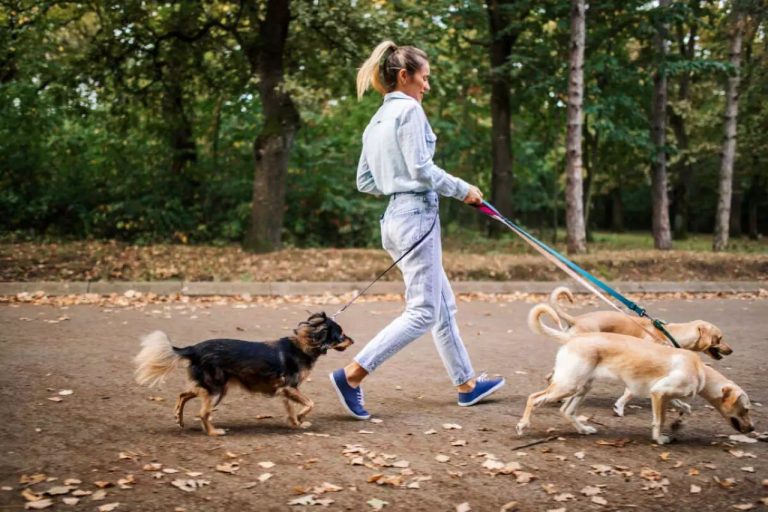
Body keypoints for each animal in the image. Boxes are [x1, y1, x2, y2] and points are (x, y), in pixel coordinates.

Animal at [135, 312, 354, 436]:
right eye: (341, 335)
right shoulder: (289, 387)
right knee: (202, 413)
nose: (353, 340)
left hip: (211, 387)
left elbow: (292, 410)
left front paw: (296, 423)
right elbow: (310, 403)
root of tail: (194, 349)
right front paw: (300, 418)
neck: (305, 344)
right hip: (216, 389)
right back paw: (214, 432)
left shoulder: (286, 391)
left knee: (183, 395)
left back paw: (179, 419)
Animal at [516, 304, 756, 444]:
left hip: (582, 386)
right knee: (534, 398)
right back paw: (523, 425)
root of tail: (572, 337)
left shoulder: (665, 393)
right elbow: (658, 419)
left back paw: (583, 429)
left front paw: (678, 422)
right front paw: (660, 438)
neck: (699, 369)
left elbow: (682, 407)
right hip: (569, 385)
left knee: (566, 411)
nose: (753, 428)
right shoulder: (658, 392)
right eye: (745, 409)